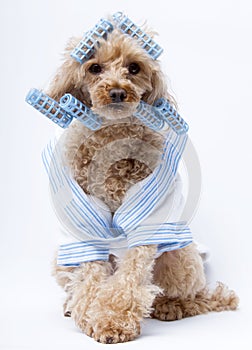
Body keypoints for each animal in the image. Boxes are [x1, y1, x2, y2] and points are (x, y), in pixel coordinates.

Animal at [44, 14, 239, 344]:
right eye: (94, 67)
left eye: (134, 68)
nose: (117, 92)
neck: (113, 136)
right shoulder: (82, 220)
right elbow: (90, 276)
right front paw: (88, 313)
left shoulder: (147, 217)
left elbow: (131, 277)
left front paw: (112, 321)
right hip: (61, 259)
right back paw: (70, 304)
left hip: (181, 257)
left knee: (187, 294)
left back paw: (171, 306)